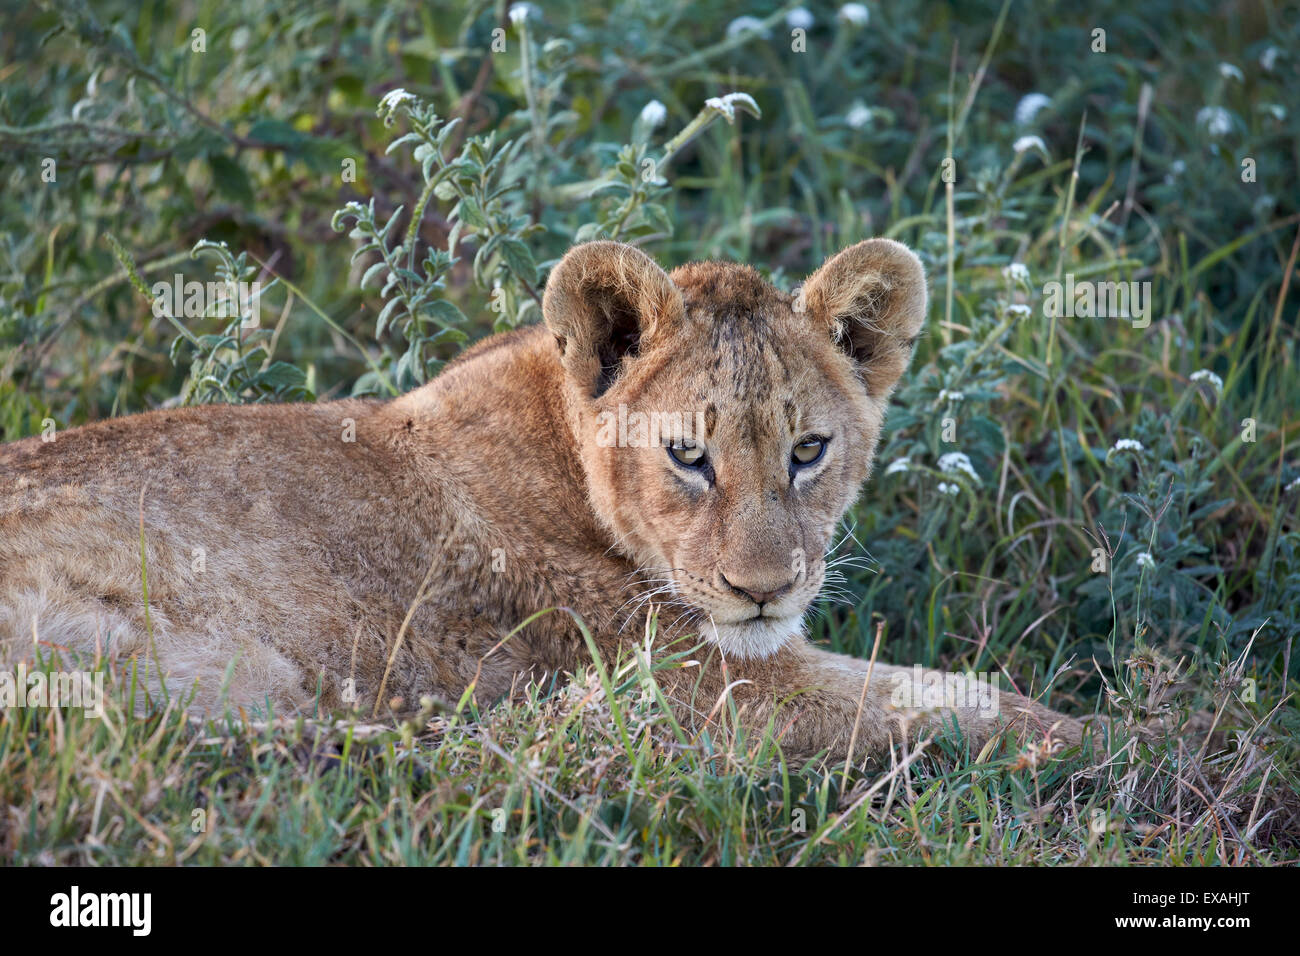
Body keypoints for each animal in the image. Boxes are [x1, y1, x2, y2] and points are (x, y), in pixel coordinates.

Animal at [0, 239, 1087, 760]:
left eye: (809, 450)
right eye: (687, 455)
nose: (765, 591)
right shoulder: (711, 690)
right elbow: (954, 703)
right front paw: (1111, 743)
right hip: (231, 664)